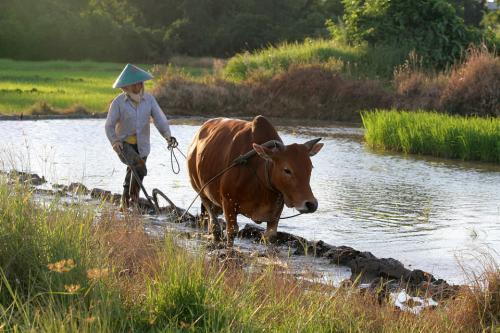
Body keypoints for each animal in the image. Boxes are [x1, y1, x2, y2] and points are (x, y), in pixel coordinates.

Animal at [186, 115, 322, 245]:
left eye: (310, 168)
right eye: (287, 170)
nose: (311, 204)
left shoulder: (275, 213)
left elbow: (270, 236)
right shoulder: (228, 203)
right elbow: (232, 232)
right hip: (200, 189)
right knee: (213, 220)